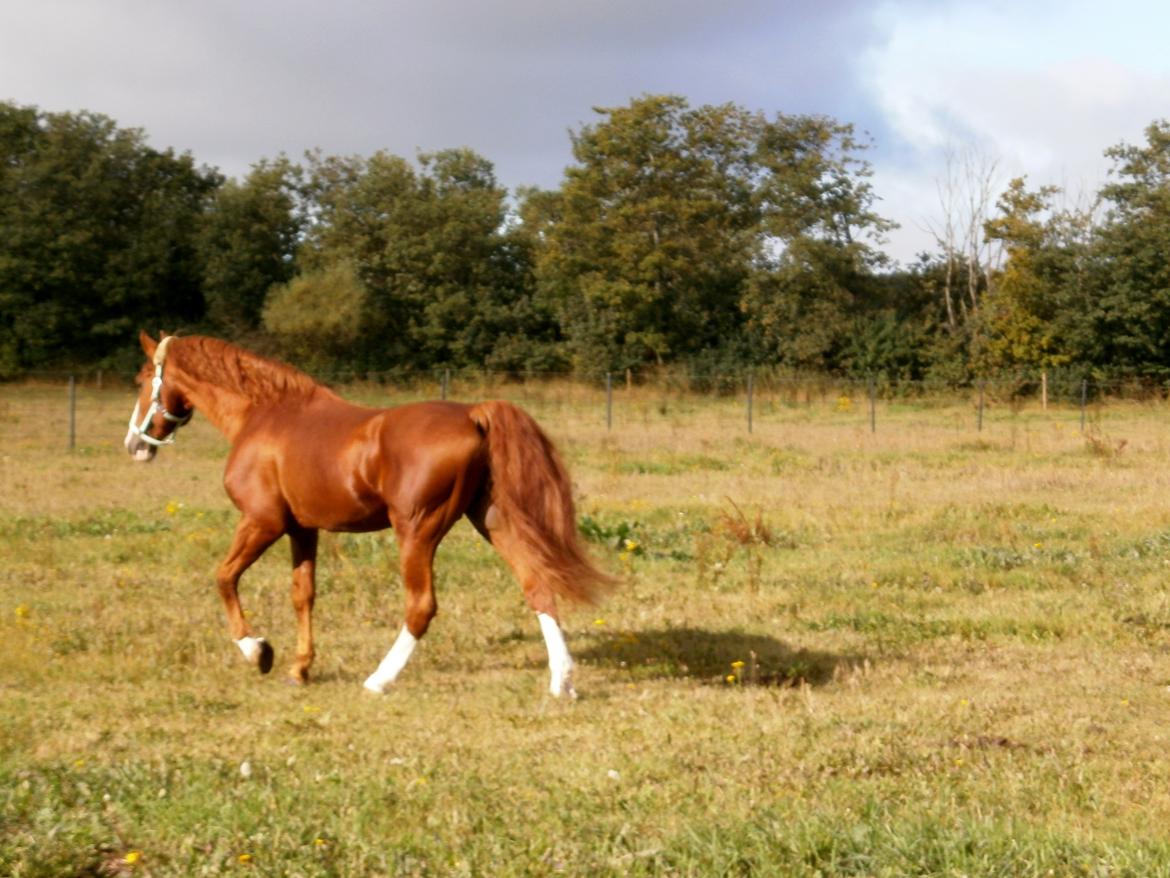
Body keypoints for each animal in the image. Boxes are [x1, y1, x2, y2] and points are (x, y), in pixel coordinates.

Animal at [123, 332, 613, 697]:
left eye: (142, 378)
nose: (134, 445)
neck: (263, 415)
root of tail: (473, 414)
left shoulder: (263, 522)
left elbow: (224, 578)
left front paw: (258, 651)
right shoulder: (302, 529)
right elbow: (303, 595)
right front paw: (299, 668)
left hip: (417, 530)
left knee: (421, 606)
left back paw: (379, 679)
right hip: (494, 522)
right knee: (538, 586)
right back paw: (562, 682)